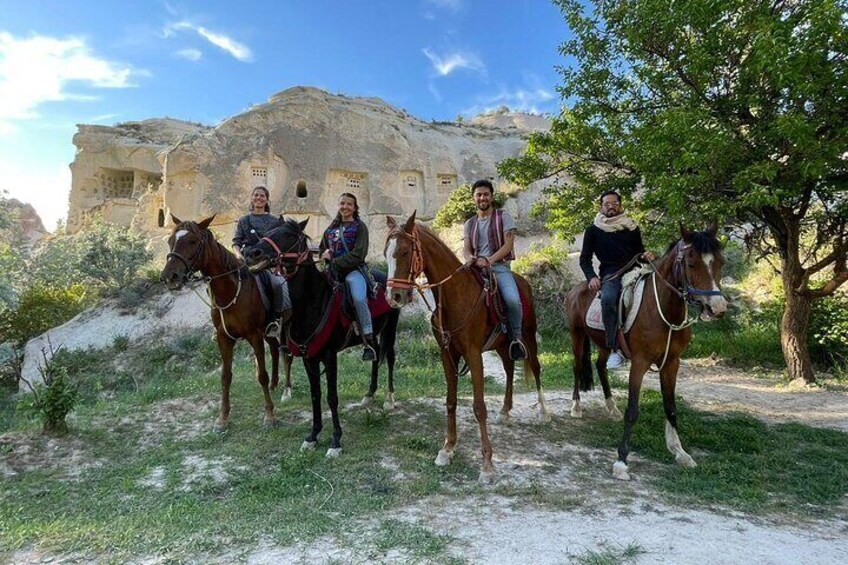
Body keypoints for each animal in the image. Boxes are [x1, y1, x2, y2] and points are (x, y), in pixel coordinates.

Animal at [160, 216, 294, 432]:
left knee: (286, 355)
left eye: (192, 241)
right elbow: (225, 377)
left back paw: (286, 391)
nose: (169, 277)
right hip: (269, 331)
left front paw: (269, 416)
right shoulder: (224, 338)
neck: (231, 291)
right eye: (171, 240)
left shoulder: (254, 335)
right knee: (275, 350)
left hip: (287, 325)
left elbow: (261, 375)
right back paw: (275, 384)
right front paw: (222, 419)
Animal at [238, 216, 398, 458]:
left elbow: (331, 397)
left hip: (391, 330)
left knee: (389, 358)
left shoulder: (330, 356)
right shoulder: (309, 358)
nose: (251, 253)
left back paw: (389, 399)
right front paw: (313, 436)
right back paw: (369, 394)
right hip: (372, 336)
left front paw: (335, 441)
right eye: (269, 230)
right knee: (376, 353)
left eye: (288, 235)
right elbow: (315, 395)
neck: (314, 302)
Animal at [382, 212, 548, 480]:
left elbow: (479, 406)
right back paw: (505, 410)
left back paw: (544, 412)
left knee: (535, 366)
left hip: (529, 337)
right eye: (386, 251)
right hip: (502, 345)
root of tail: (523, 282)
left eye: (405, 251)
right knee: (509, 368)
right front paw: (447, 449)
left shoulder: (473, 354)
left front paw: (487, 463)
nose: (393, 297)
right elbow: (451, 401)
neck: (455, 295)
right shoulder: (447, 354)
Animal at [564, 223, 728, 478]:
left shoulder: (672, 363)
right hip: (577, 336)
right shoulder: (640, 363)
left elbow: (671, 407)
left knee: (600, 366)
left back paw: (611, 408)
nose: (717, 308)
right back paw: (576, 406)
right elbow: (633, 410)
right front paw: (621, 461)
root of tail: (579, 287)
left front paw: (680, 452)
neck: (664, 311)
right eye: (691, 263)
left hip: (604, 343)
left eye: (719, 262)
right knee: (577, 367)